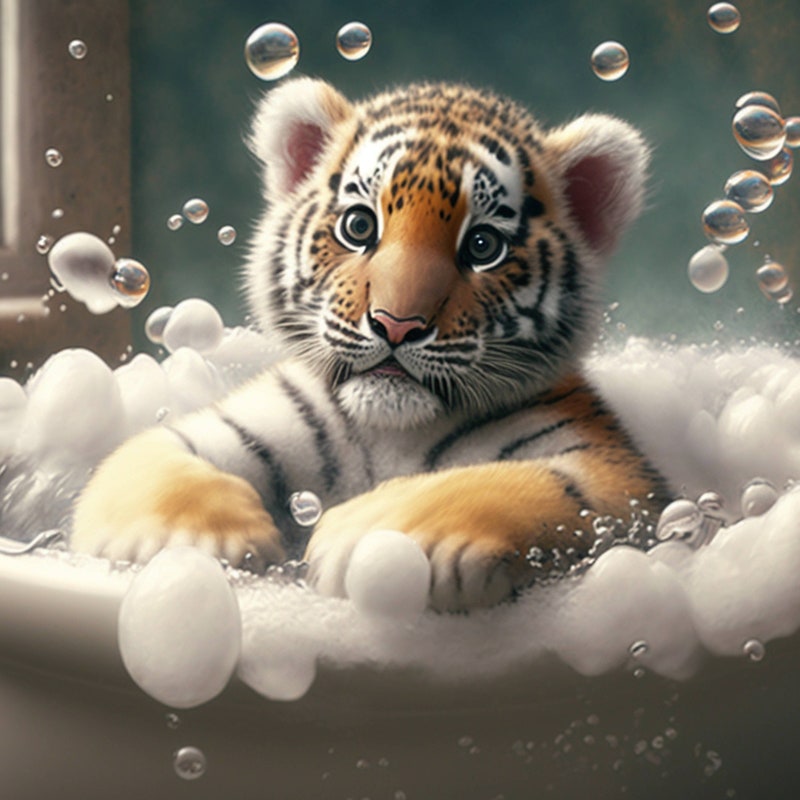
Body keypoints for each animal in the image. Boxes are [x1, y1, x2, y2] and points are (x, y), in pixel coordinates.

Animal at [71, 77, 670, 611]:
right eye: (360, 227)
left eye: (482, 246)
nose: (396, 324)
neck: (390, 431)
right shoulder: (227, 425)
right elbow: (151, 458)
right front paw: (195, 542)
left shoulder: (616, 473)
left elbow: (498, 482)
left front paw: (373, 538)